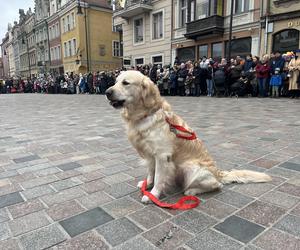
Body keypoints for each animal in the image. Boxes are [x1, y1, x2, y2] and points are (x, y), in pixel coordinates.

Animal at [106, 70, 272, 203]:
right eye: (115, 82)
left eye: (125, 83)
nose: (107, 92)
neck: (146, 114)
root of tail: (218, 173)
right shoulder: (150, 155)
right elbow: (151, 173)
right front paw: (147, 184)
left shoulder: (162, 156)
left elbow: (159, 177)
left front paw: (153, 195)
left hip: (190, 168)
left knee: (217, 186)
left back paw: (192, 190)